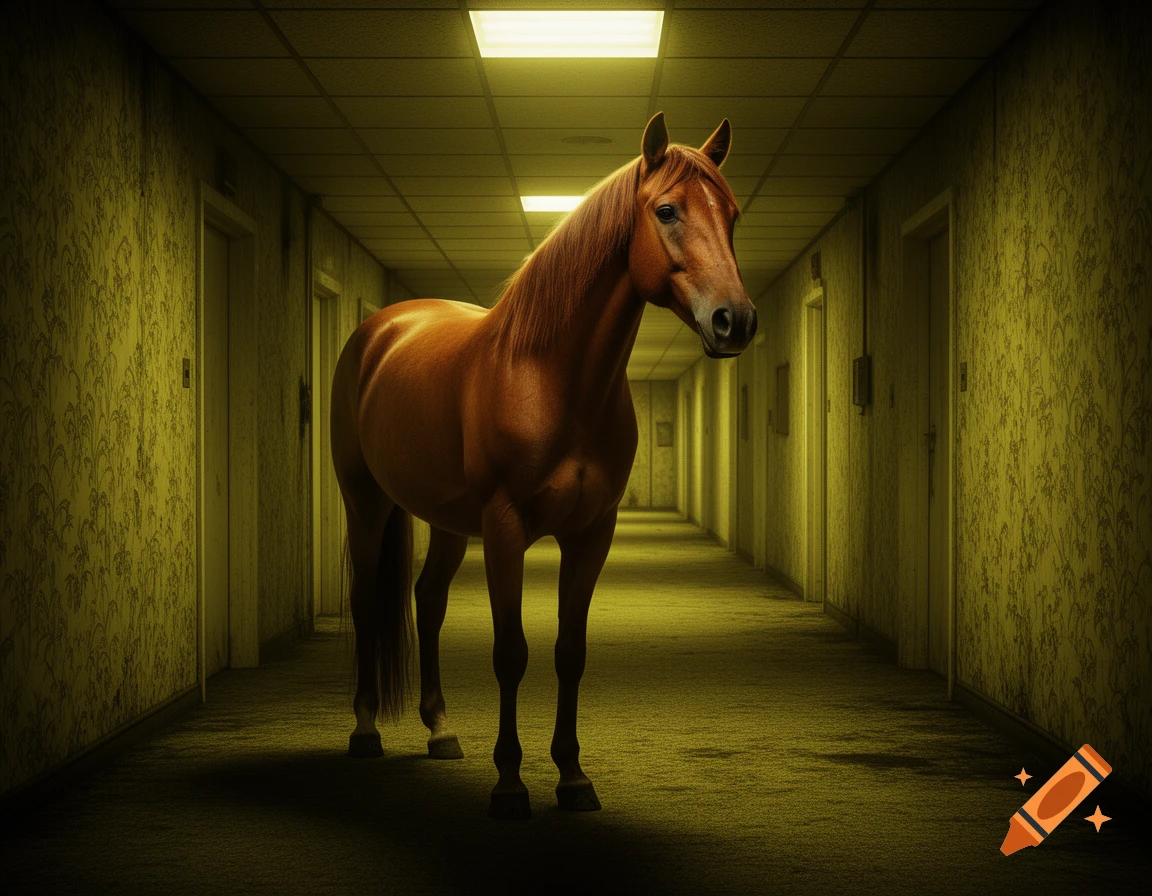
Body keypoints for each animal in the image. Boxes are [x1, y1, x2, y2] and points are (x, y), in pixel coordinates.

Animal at [330, 112, 757, 819]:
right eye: (666, 210)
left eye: (733, 214)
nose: (736, 321)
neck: (551, 378)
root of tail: (381, 328)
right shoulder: (505, 529)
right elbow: (512, 652)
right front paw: (509, 784)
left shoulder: (591, 533)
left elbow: (568, 652)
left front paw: (573, 777)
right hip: (366, 502)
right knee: (367, 599)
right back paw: (365, 731)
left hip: (447, 521)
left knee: (428, 599)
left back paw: (441, 730)